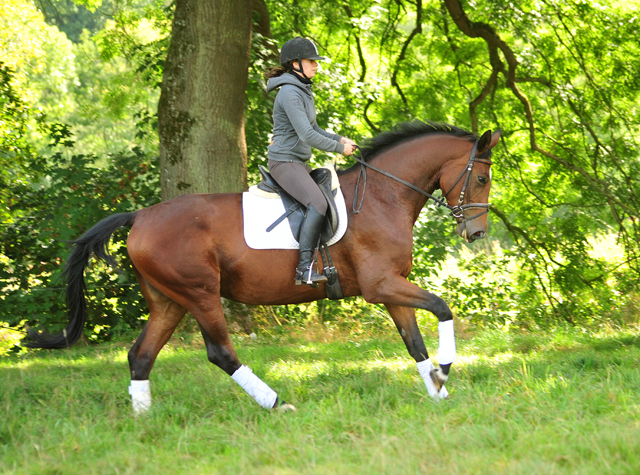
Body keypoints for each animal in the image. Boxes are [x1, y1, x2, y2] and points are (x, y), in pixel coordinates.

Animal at [28, 121, 500, 414]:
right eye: (481, 179)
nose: (476, 233)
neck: (384, 195)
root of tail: (141, 216)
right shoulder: (381, 285)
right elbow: (442, 308)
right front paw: (445, 371)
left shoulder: (391, 286)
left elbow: (414, 342)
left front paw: (436, 390)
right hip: (200, 293)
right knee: (220, 352)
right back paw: (276, 404)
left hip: (169, 300)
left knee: (141, 355)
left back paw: (143, 420)